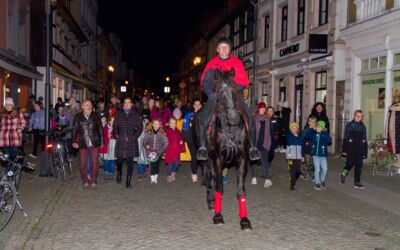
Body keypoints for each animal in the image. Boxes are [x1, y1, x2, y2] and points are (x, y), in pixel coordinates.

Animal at [195, 68, 253, 230]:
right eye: (220, 90)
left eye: (236, 89)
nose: (234, 118)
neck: (230, 129)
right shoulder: (217, 159)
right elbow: (219, 187)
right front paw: (218, 215)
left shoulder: (242, 160)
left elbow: (241, 190)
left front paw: (244, 219)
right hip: (206, 158)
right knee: (208, 176)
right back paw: (210, 199)